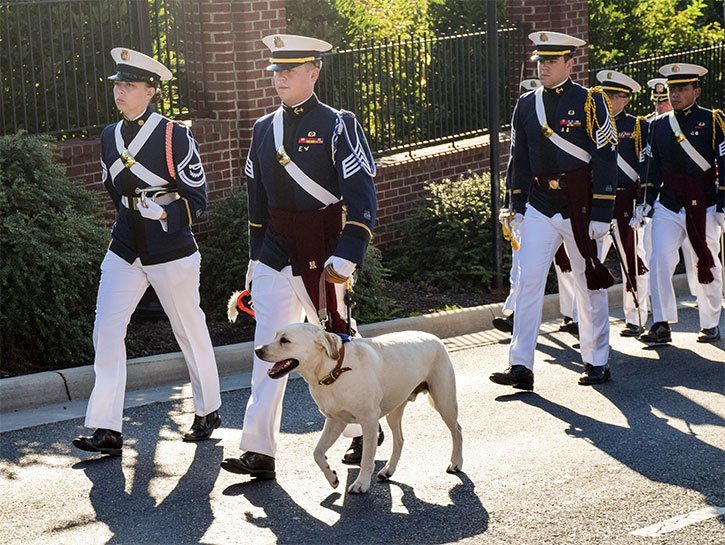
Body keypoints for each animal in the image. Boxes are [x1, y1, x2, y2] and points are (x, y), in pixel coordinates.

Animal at [252, 324, 460, 492]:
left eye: (285, 340)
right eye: (275, 335)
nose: (257, 350)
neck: (334, 370)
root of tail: (435, 338)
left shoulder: (369, 421)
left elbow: (367, 457)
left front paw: (361, 483)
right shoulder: (335, 421)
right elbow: (317, 452)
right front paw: (332, 477)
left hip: (444, 401)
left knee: (457, 430)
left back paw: (456, 463)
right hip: (395, 410)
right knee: (400, 439)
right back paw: (388, 471)